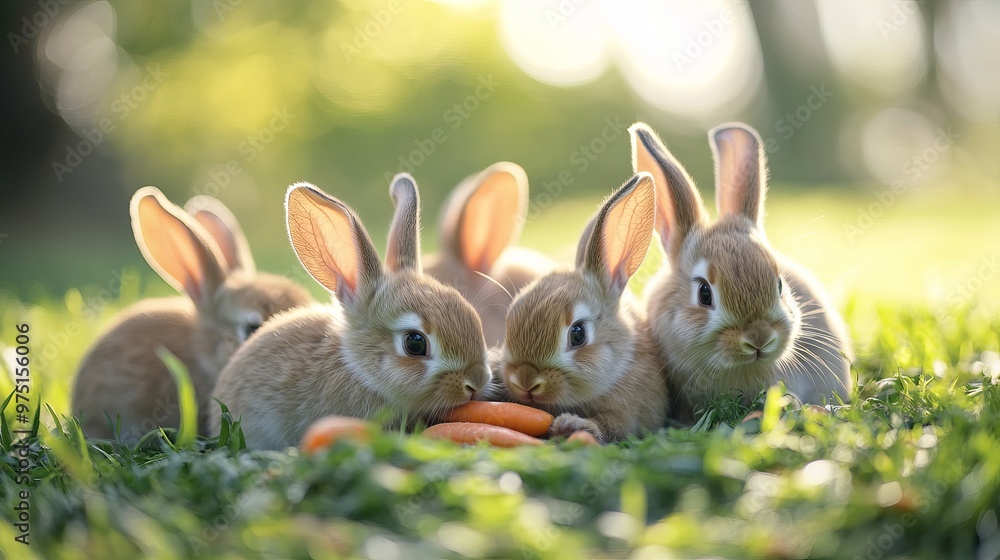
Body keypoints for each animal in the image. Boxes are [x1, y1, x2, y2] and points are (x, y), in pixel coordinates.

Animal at [498, 172, 670, 443]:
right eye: (509, 321)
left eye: (578, 334)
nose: (525, 381)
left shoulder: (630, 413)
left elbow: (611, 425)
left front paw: (570, 424)